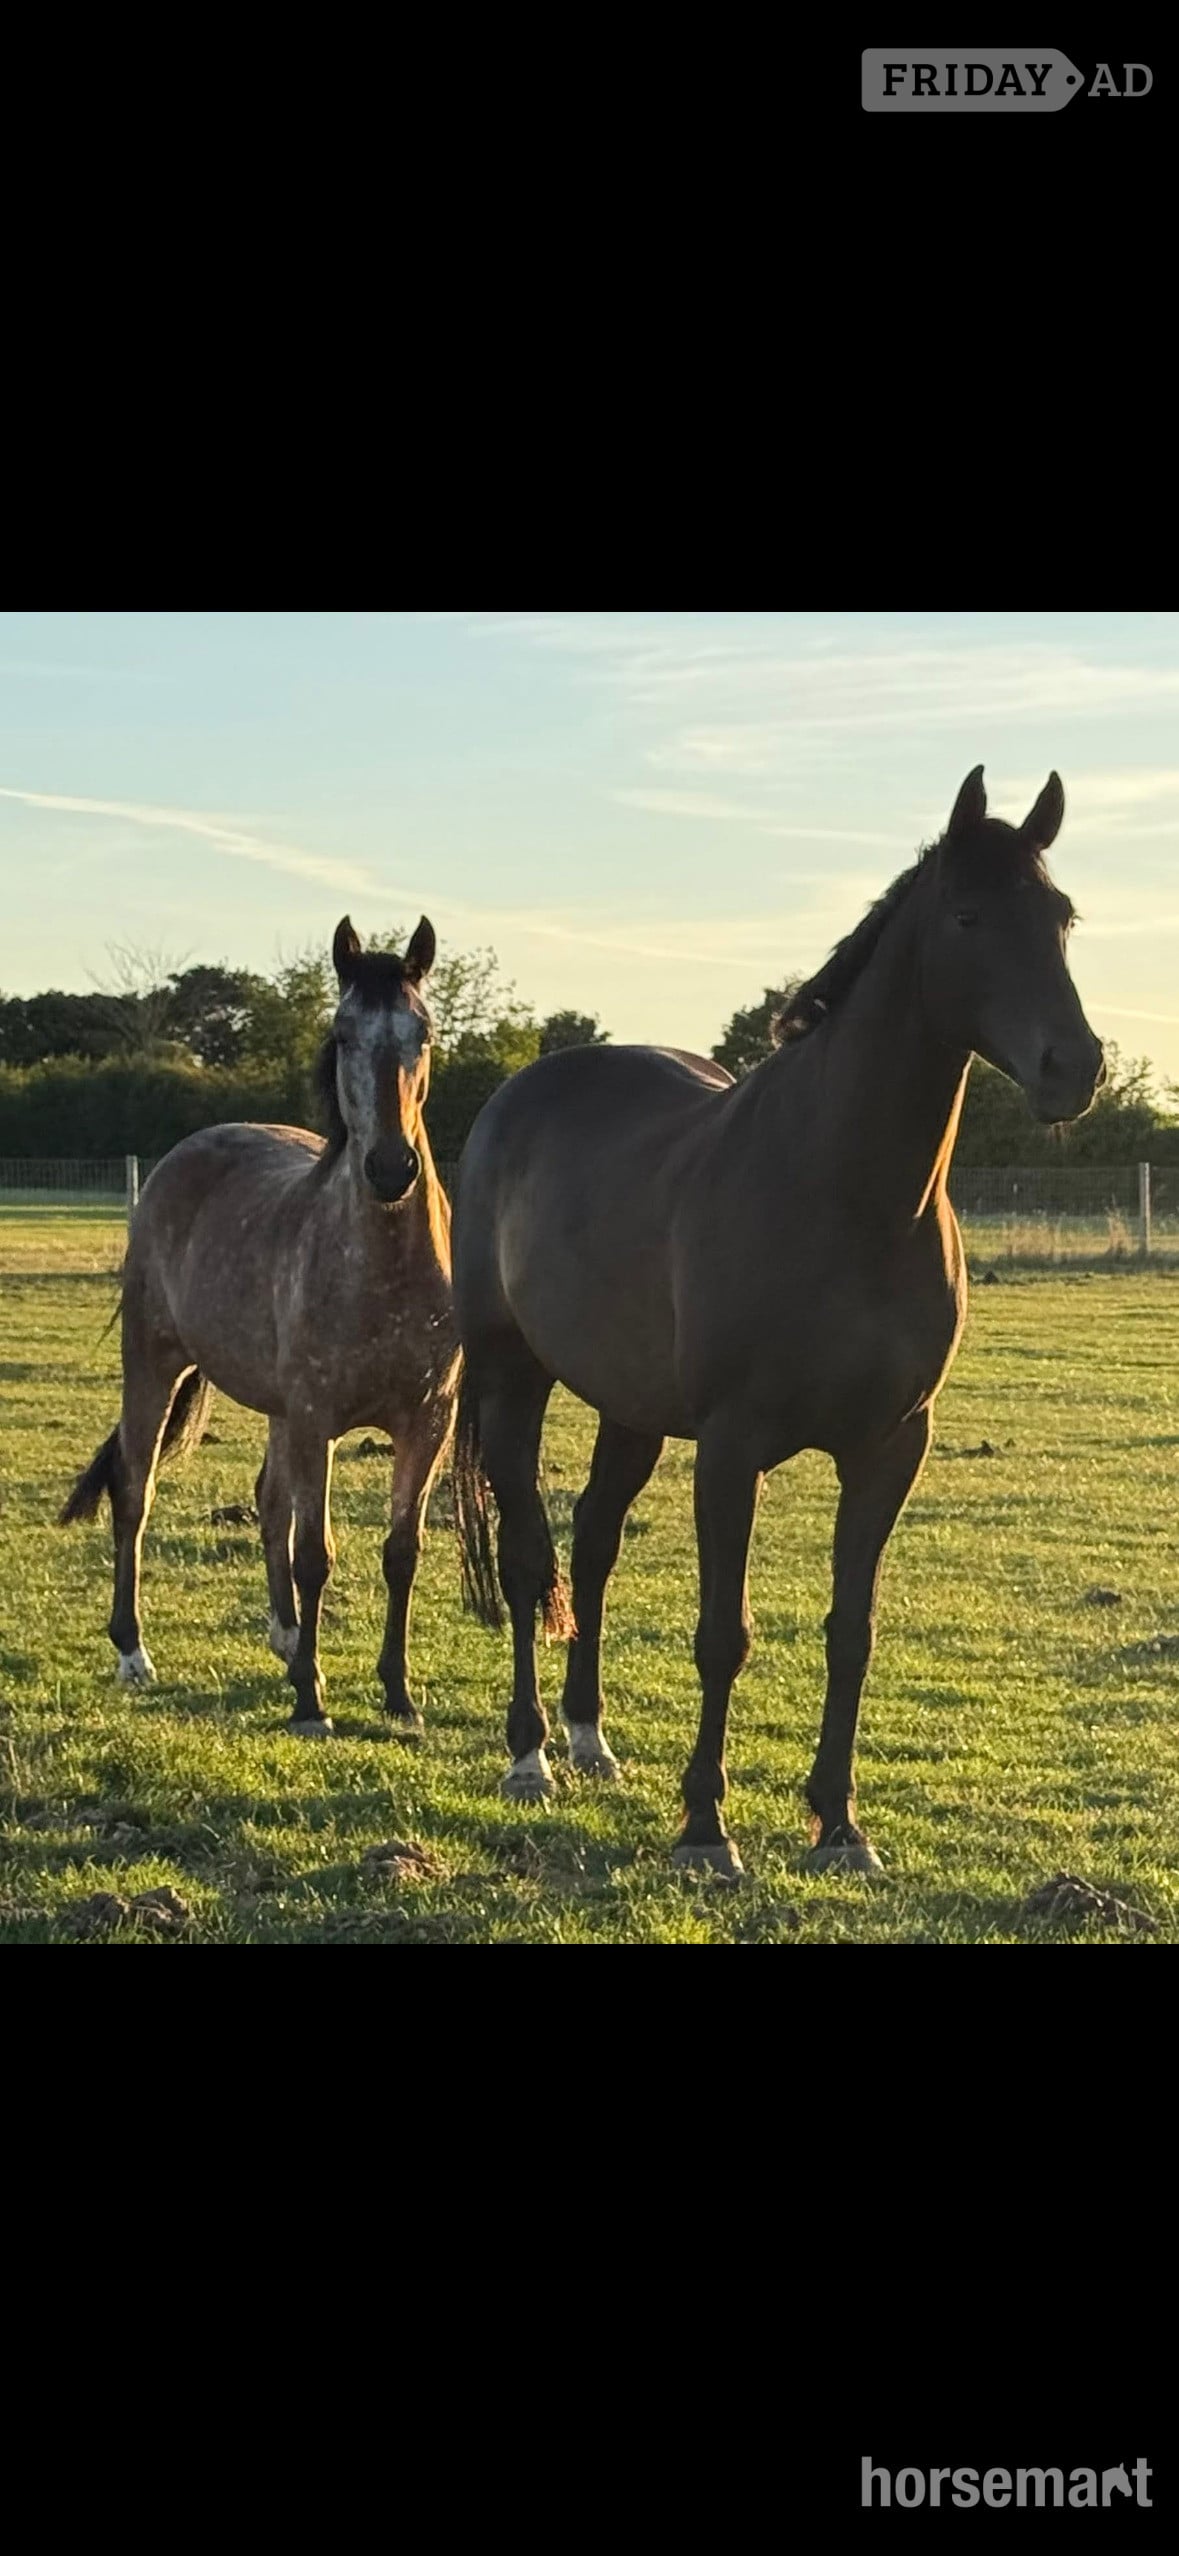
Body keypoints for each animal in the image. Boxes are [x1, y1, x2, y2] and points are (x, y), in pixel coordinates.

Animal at [61, 916, 458, 1736]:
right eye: (342, 1034)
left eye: (425, 1033)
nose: (390, 1169)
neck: (385, 1270)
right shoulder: (316, 1417)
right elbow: (317, 1554)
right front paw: (312, 1704)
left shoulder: (427, 1419)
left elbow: (400, 1550)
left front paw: (398, 1695)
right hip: (155, 1365)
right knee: (134, 1490)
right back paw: (134, 1652)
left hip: (274, 1407)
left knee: (269, 1504)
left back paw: (284, 1638)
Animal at [451, 768, 1104, 1875]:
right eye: (968, 917)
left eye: (1061, 916)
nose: (1077, 1067)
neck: (846, 1194)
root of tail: (517, 1095)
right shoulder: (731, 1445)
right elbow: (724, 1635)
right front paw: (706, 1831)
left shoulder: (891, 1448)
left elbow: (852, 1632)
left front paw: (839, 1825)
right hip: (510, 1379)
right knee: (531, 1553)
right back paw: (529, 1756)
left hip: (630, 1410)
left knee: (593, 1545)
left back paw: (589, 1740)